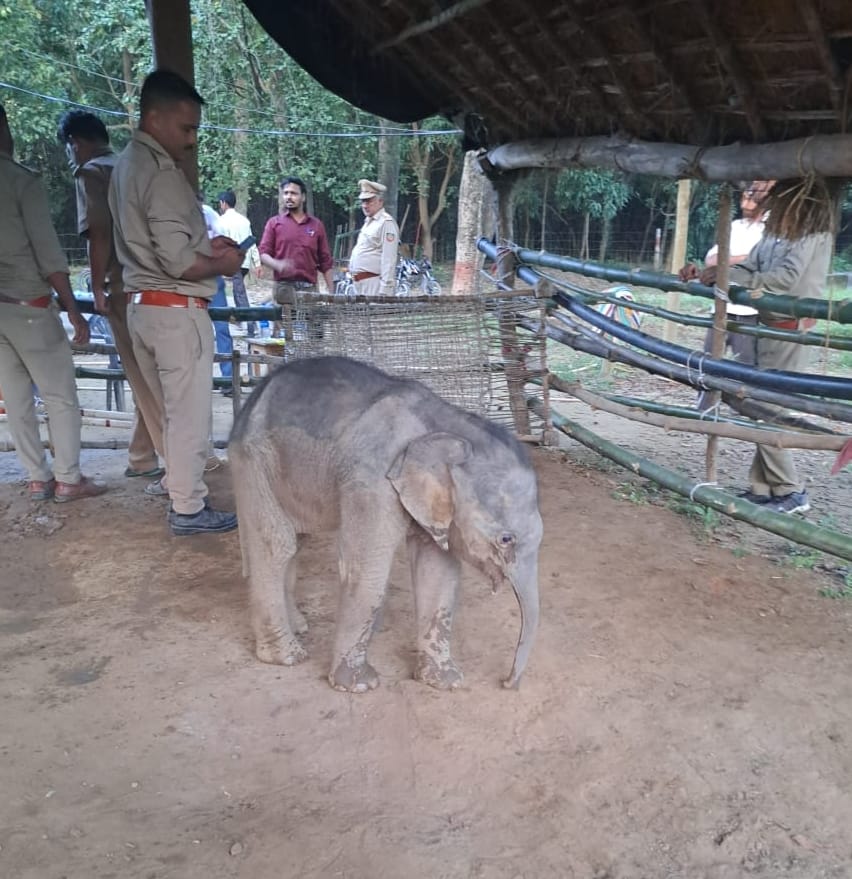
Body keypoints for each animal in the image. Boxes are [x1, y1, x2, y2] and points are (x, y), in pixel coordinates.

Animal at [228, 356, 543, 693]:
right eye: (506, 539)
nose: (506, 682)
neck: (446, 424)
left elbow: (437, 570)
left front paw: (447, 682)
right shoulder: (370, 481)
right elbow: (364, 568)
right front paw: (359, 686)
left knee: (297, 540)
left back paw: (299, 626)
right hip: (254, 463)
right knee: (277, 545)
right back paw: (286, 656)